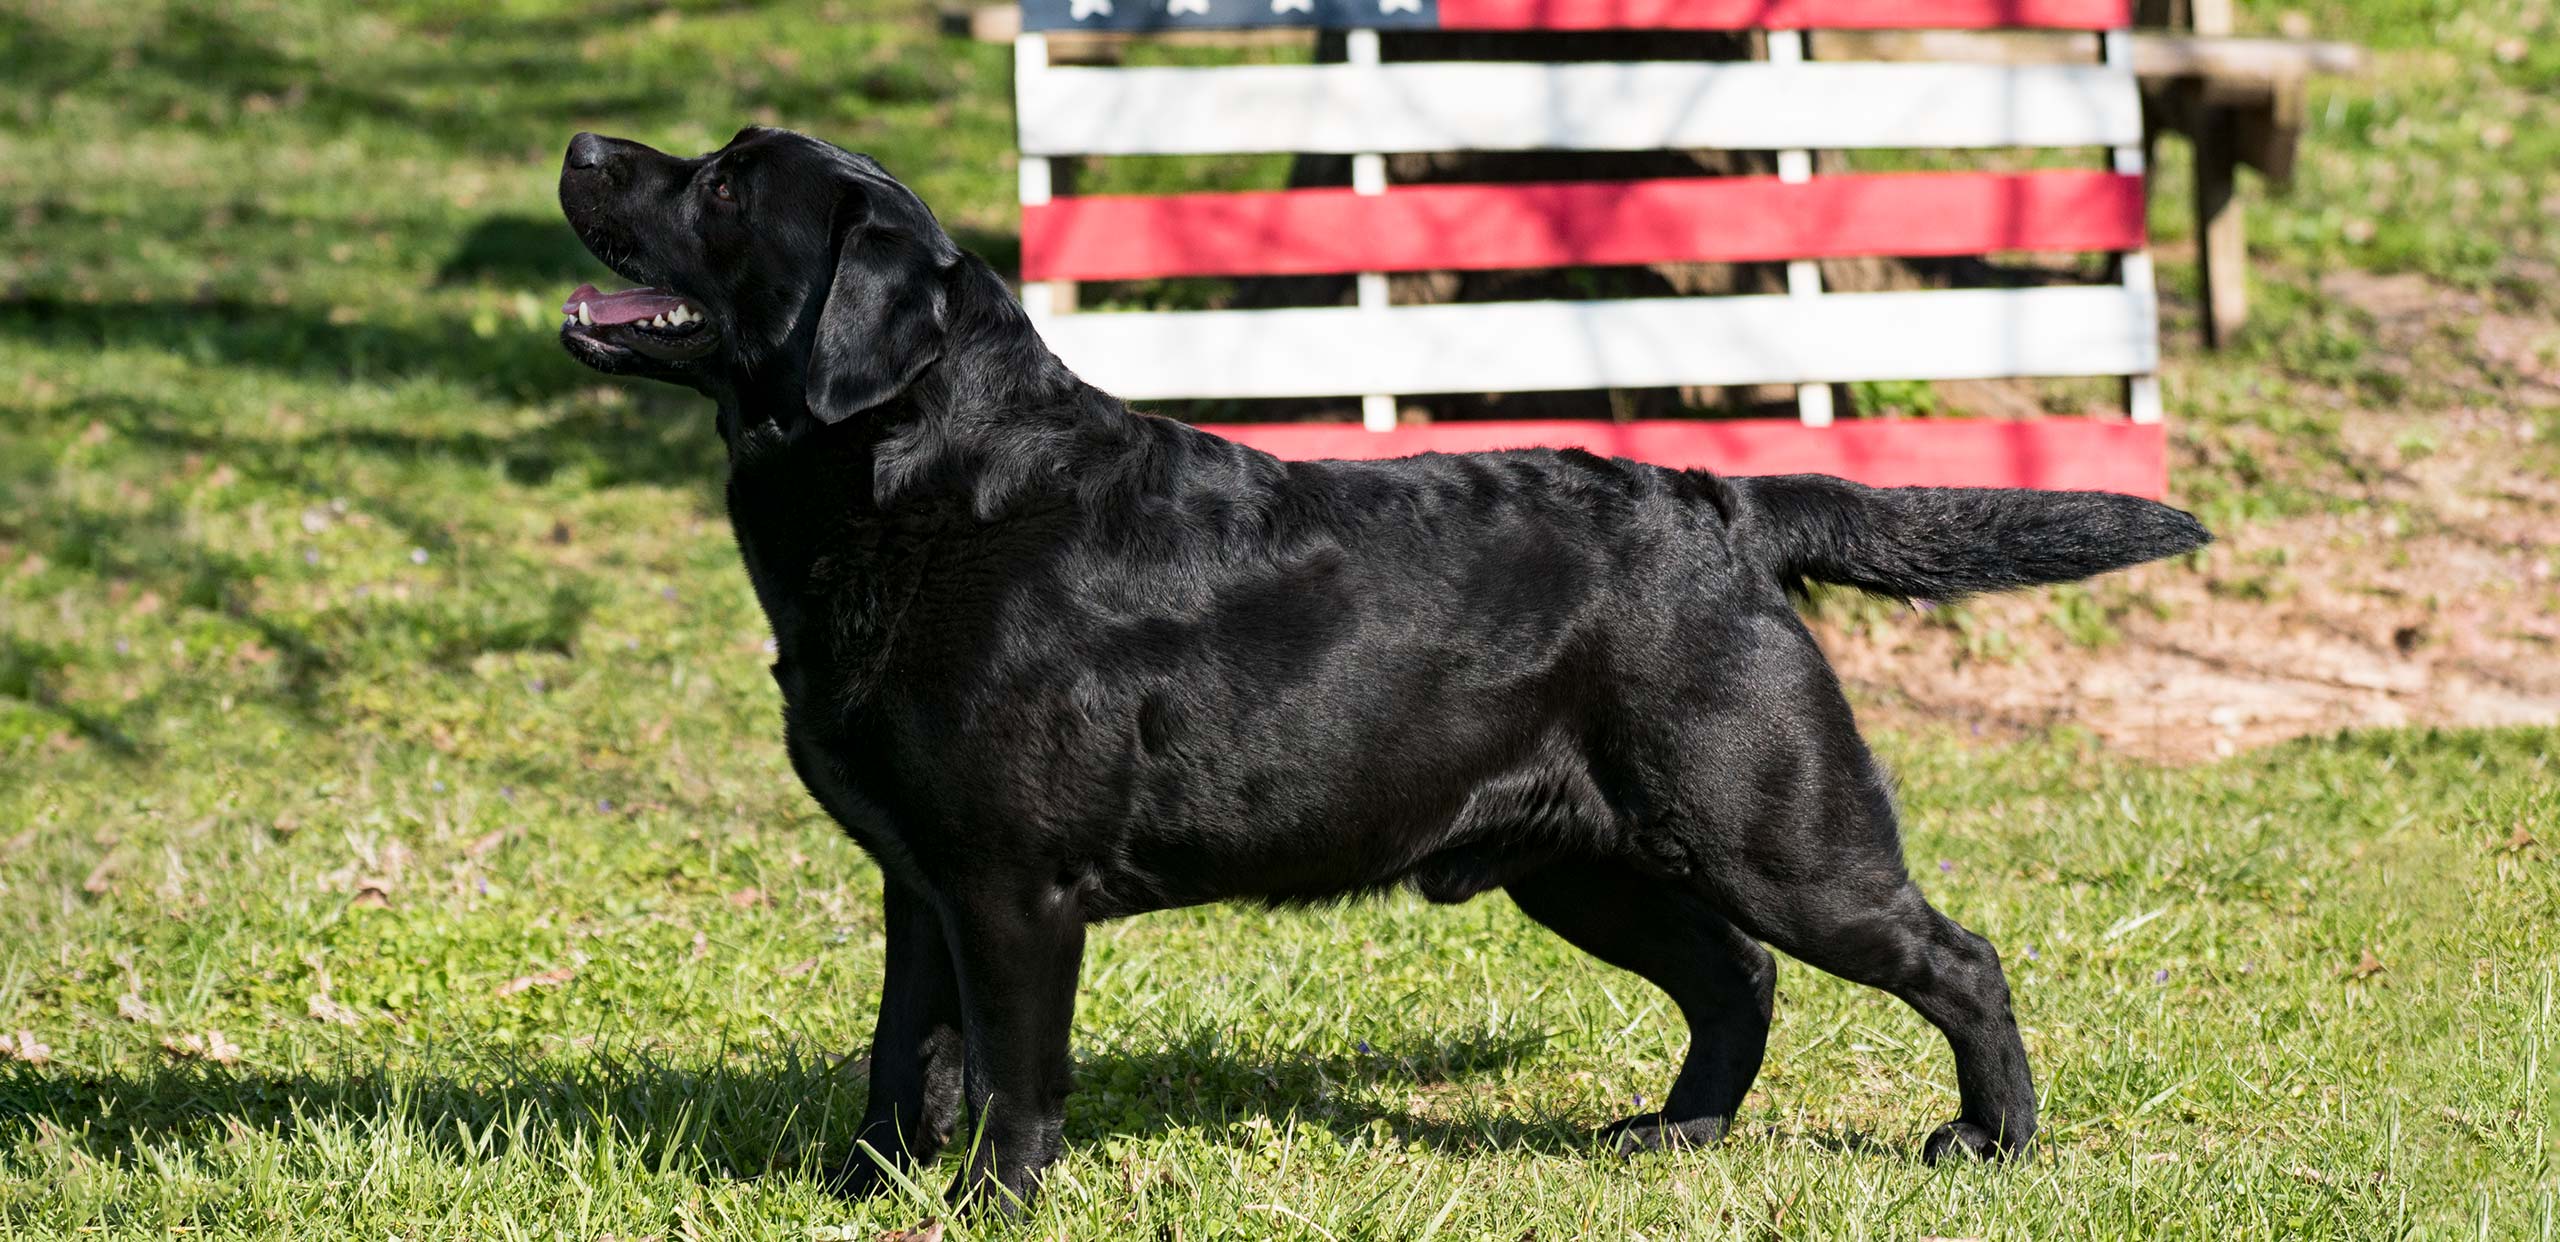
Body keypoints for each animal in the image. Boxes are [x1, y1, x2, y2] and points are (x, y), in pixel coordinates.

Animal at [555, 126, 2201, 1208]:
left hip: (1776, 832)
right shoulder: (922, 880)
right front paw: (862, 1192)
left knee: (1955, 959)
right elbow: (905, 1057)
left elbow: (1012, 1077)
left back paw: (1990, 1143)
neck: (929, 489)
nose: (580, 145)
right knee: (1736, 980)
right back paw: (1675, 1134)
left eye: (721, 184)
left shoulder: (1015, 890)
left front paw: (990, 1206)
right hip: (1583, 863)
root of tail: (1722, 500)